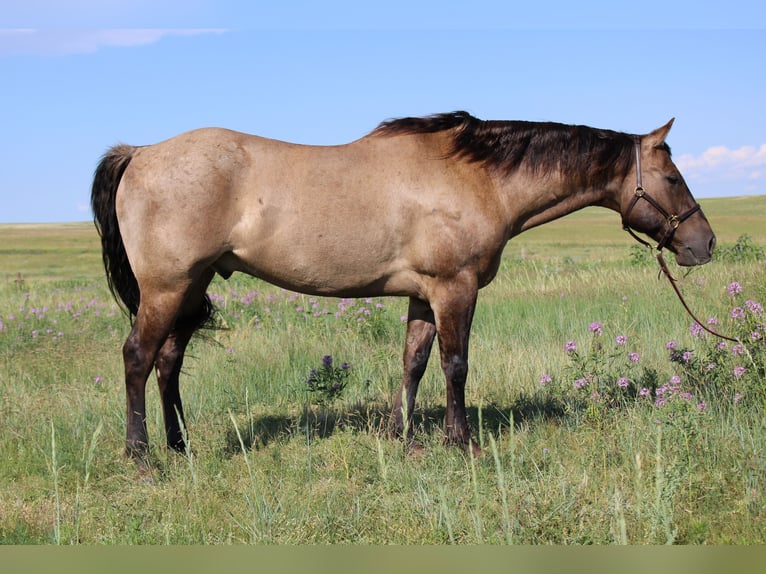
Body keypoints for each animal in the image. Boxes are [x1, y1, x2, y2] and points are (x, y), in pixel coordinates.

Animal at [91, 110, 720, 470]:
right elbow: (455, 366)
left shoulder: (424, 294)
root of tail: (142, 153)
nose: (705, 242)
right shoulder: (454, 289)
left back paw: (181, 447)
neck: (475, 176)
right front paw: (460, 443)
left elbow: (414, 362)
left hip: (189, 290)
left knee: (168, 363)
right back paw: (141, 456)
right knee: (138, 358)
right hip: (167, 289)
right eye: (672, 177)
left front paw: (404, 437)